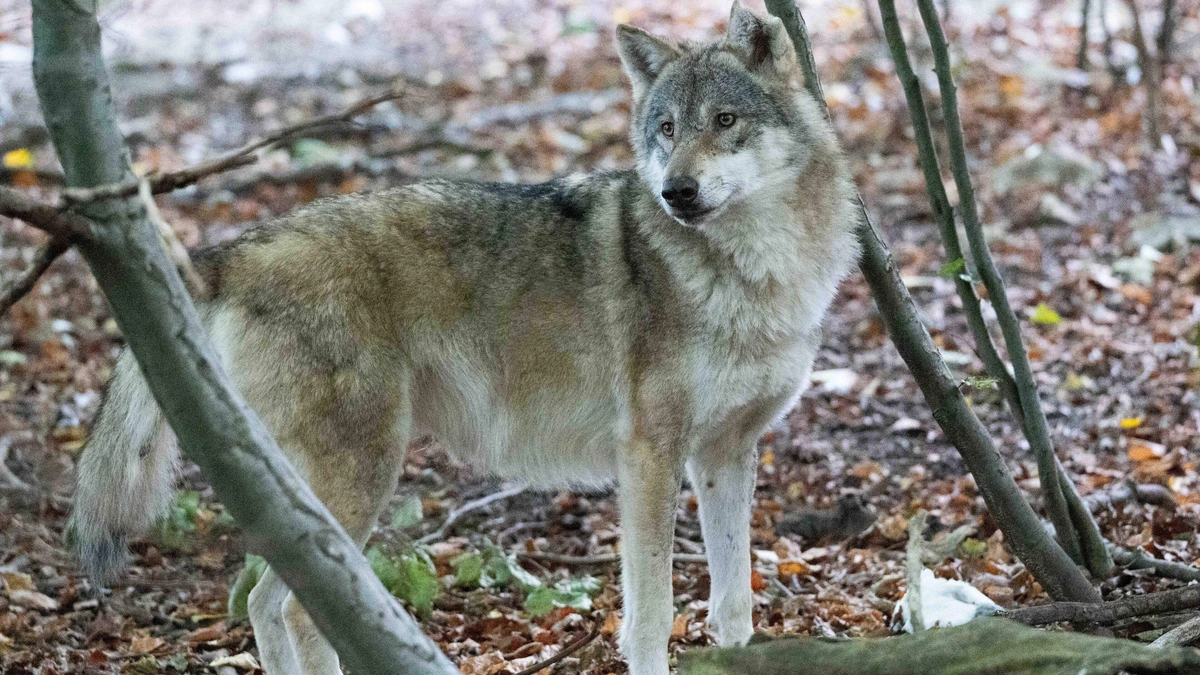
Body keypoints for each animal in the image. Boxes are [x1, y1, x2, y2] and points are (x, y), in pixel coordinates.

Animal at [68, 3, 860, 673]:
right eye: (665, 128)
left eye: (724, 120)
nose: (677, 192)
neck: (756, 271)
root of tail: (228, 252)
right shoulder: (649, 456)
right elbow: (651, 617)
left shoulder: (724, 452)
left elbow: (733, 606)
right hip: (362, 477)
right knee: (295, 611)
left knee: (263, 604)